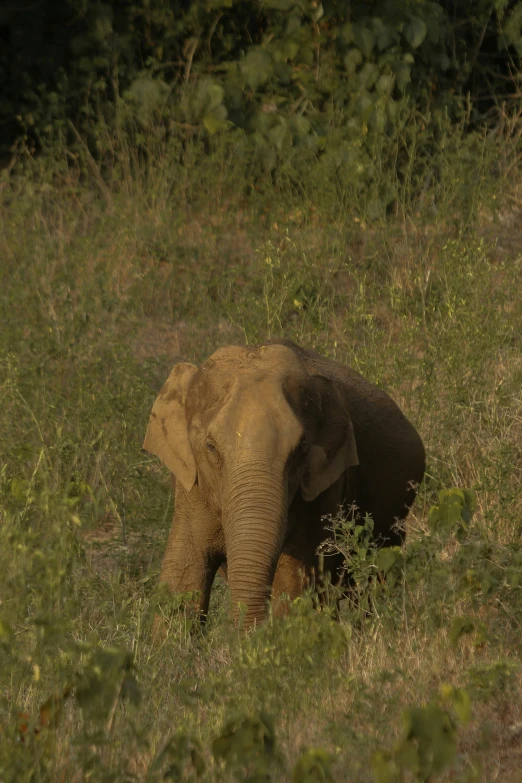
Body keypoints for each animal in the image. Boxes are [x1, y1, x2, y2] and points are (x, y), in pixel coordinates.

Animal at [142, 340, 422, 628]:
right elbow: (182, 576)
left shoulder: (323, 489)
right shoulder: (191, 488)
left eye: (300, 450)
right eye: (211, 448)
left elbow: (294, 579)